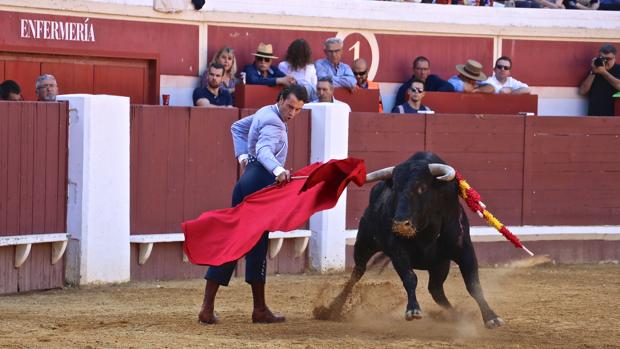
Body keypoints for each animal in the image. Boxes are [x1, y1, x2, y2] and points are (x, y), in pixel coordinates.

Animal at [320, 151, 504, 328]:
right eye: (395, 189)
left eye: (421, 188)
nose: (401, 224)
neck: (427, 229)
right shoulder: (398, 251)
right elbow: (410, 278)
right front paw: (413, 310)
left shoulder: (464, 250)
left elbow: (473, 285)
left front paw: (491, 317)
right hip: (364, 244)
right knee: (357, 273)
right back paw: (332, 309)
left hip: (440, 264)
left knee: (436, 290)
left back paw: (455, 316)